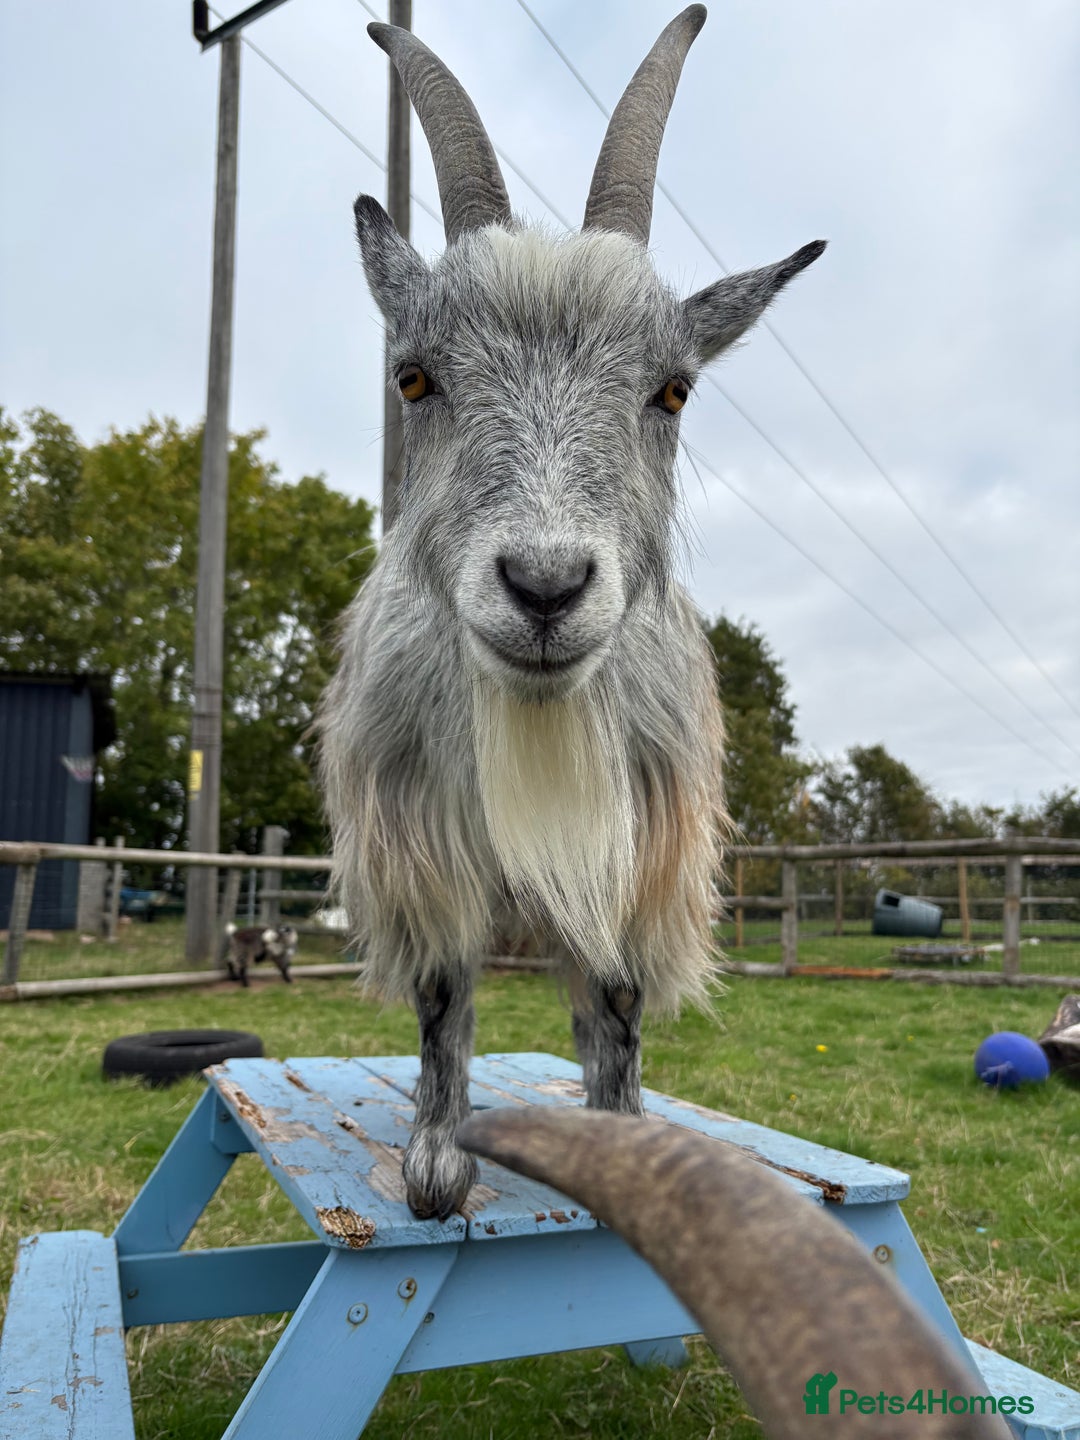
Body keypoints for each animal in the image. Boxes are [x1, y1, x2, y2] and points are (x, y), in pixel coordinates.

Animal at [317, 5, 824, 1220]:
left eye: (673, 390)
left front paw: (626, 1144)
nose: (545, 587)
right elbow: (443, 996)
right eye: (413, 377)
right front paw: (438, 1159)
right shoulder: (419, 836)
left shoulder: (642, 844)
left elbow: (619, 1002)